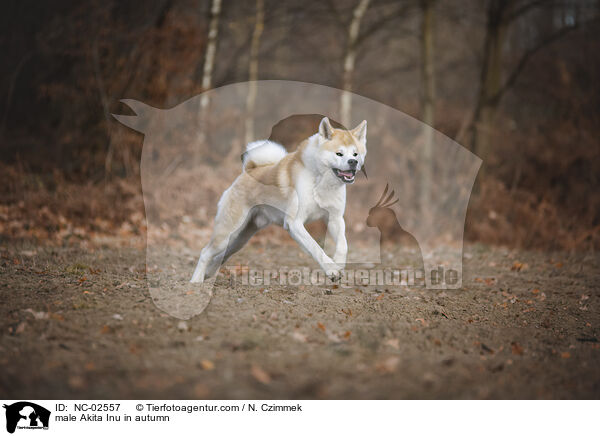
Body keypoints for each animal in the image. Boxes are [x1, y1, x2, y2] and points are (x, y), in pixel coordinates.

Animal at [190, 117, 366, 284]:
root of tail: (249, 170)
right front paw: (332, 270)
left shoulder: (335, 219)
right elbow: (315, 247)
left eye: (355, 154)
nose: (353, 162)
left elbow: (343, 245)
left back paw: (208, 273)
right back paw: (196, 281)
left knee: (221, 255)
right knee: (205, 252)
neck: (321, 181)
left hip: (240, 238)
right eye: (339, 154)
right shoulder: (295, 224)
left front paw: (338, 264)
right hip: (228, 233)